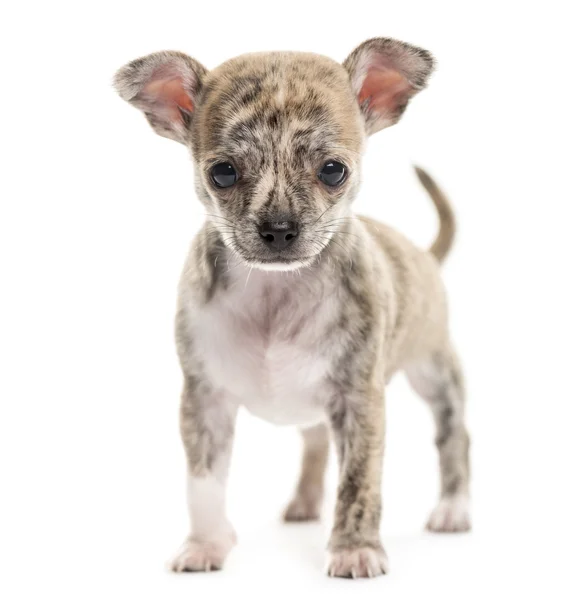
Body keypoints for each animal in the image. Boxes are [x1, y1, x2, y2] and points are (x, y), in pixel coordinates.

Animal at [115, 36, 470, 576]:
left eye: (333, 171)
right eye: (223, 173)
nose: (279, 229)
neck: (274, 292)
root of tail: (425, 255)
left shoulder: (360, 402)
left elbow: (358, 483)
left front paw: (354, 547)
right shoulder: (204, 402)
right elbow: (203, 483)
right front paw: (206, 543)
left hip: (435, 375)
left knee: (454, 438)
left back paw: (453, 508)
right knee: (316, 444)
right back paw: (303, 503)